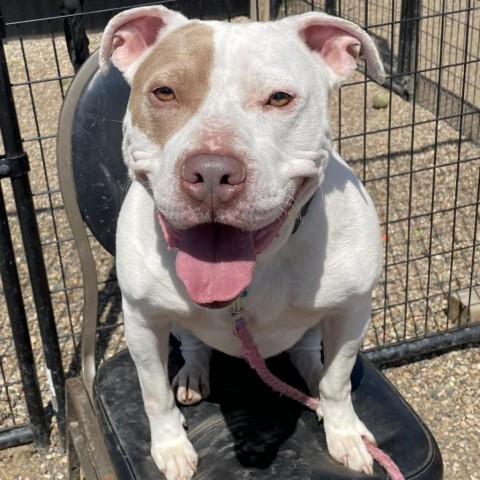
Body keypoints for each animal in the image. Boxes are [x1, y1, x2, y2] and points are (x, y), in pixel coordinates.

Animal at [99, 5, 384, 478]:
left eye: (279, 98)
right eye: (164, 92)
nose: (212, 172)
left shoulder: (353, 311)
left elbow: (338, 380)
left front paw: (344, 432)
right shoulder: (141, 319)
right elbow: (153, 393)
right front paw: (170, 446)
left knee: (309, 356)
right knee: (194, 346)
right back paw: (193, 375)